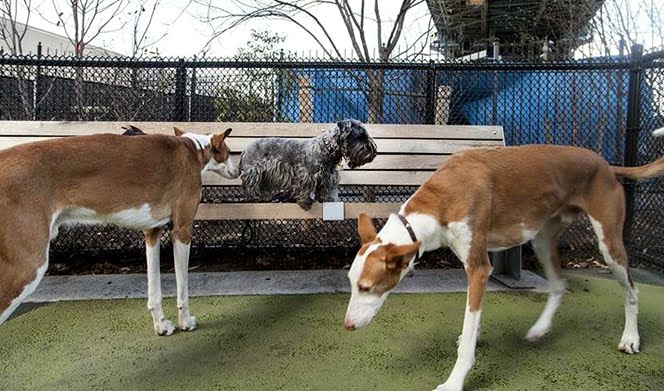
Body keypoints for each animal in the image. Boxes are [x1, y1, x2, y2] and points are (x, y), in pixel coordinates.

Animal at [0, 127, 239, 336]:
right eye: (229, 152)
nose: (238, 171)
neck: (192, 147)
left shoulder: (151, 232)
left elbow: (154, 290)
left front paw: (161, 326)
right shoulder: (182, 230)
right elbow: (183, 288)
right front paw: (186, 323)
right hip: (27, 267)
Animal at [342, 145, 664, 391]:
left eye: (366, 288)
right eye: (351, 284)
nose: (346, 326)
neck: (442, 197)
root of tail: (605, 163)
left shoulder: (478, 267)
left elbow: (468, 332)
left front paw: (454, 381)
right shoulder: (479, 266)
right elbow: (474, 318)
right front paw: (474, 335)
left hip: (609, 245)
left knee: (632, 291)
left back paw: (630, 338)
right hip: (542, 239)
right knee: (559, 284)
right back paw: (540, 328)